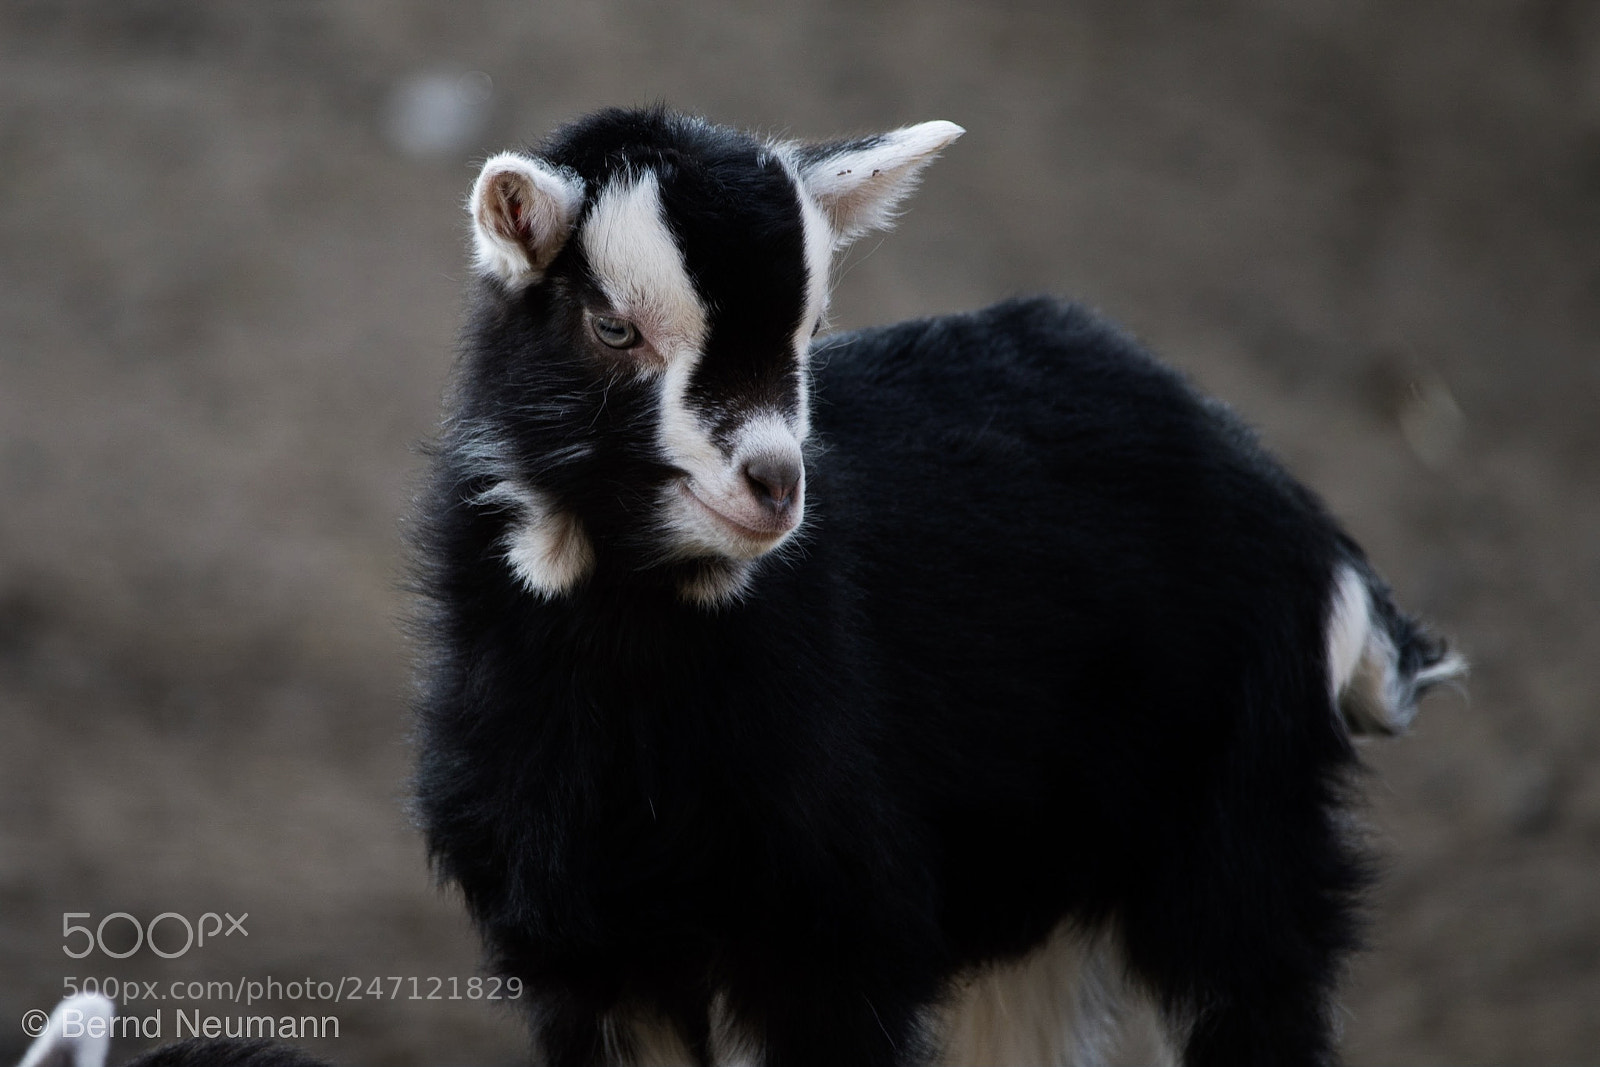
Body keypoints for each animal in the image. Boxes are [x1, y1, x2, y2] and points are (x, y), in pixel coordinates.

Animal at [412, 106, 1463, 1067]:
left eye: (811, 332)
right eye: (613, 326)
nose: (774, 482)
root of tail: (1305, 522)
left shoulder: (835, 935)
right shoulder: (588, 953)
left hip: (1235, 830)